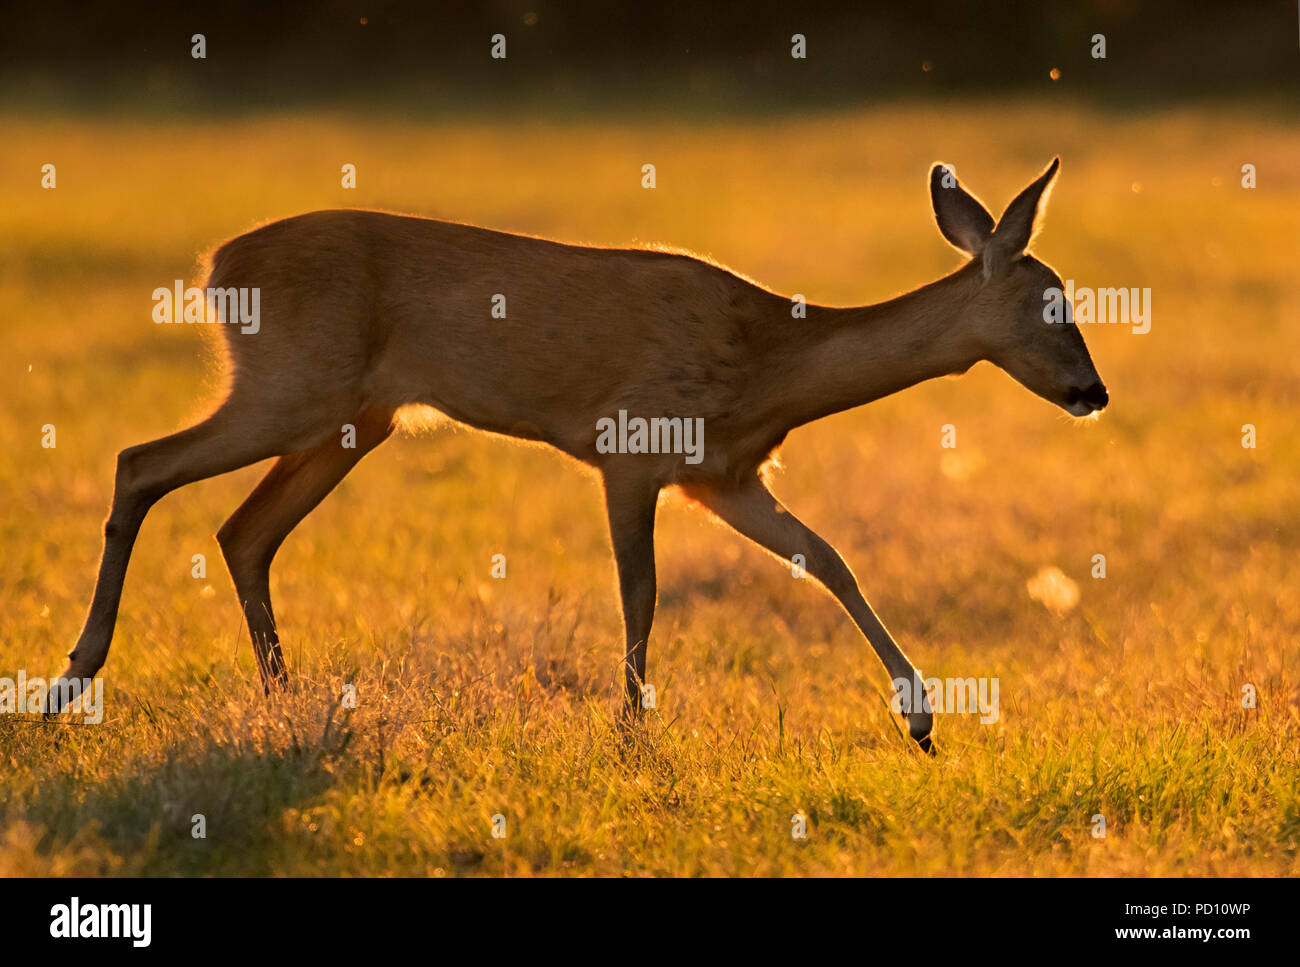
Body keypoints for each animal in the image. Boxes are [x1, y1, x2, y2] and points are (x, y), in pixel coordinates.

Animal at [49, 157, 1106, 754]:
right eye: (1052, 300)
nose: (1092, 392)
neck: (769, 358)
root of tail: (216, 265)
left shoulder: (723, 474)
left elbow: (830, 559)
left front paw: (922, 716)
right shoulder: (631, 447)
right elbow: (641, 593)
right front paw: (632, 732)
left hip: (351, 417)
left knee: (243, 531)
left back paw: (284, 701)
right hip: (291, 386)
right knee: (142, 461)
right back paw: (73, 679)